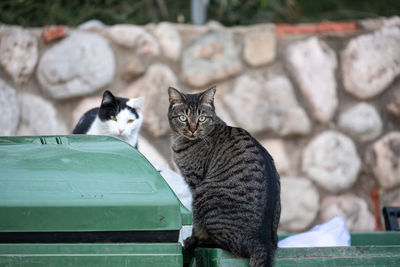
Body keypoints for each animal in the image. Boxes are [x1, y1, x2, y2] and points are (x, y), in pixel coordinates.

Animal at [167, 87, 280, 266]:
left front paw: (193, 237)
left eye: (202, 118)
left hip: (205, 196)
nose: (192, 129)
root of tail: (262, 241)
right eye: (183, 118)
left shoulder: (195, 183)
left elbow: (196, 223)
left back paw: (194, 241)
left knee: (219, 242)